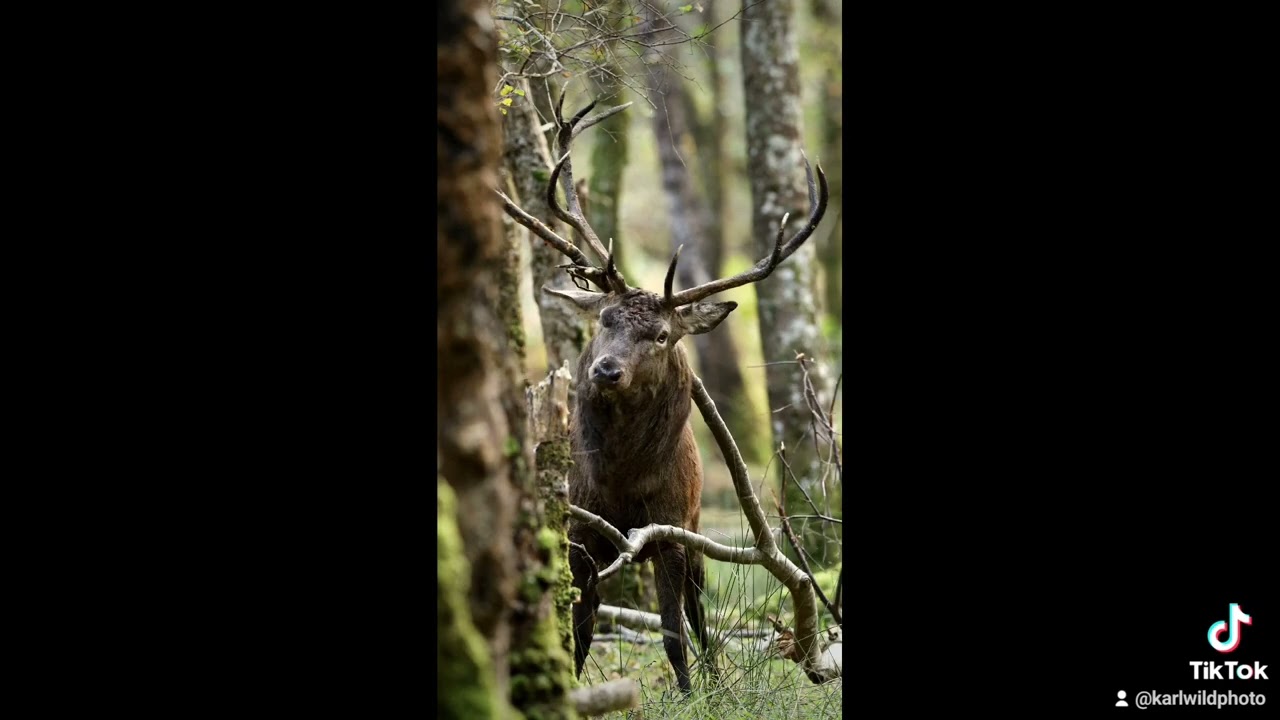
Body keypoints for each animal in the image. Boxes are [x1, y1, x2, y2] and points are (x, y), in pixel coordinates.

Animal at [498, 92, 828, 695]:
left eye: (661, 335)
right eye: (604, 317)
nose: (605, 370)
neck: (623, 483)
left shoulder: (673, 531)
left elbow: (675, 631)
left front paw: (692, 692)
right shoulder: (580, 529)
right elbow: (580, 626)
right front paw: (577, 687)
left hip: (695, 528)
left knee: (698, 613)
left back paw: (716, 676)